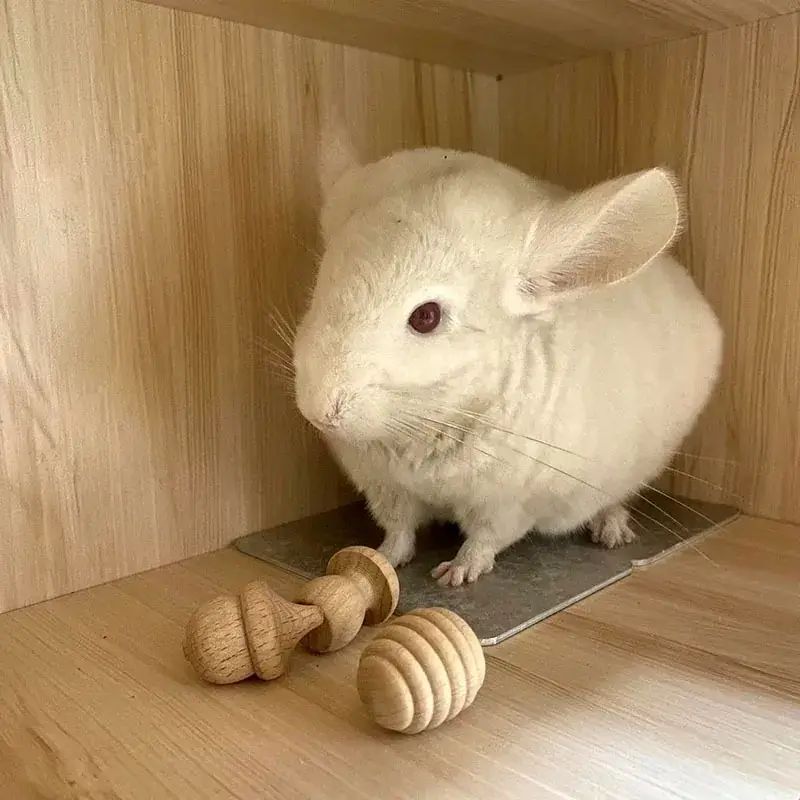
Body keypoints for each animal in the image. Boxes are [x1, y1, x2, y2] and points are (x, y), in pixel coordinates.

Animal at [292, 127, 723, 587]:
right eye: (319, 286)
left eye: (426, 317)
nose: (318, 410)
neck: (425, 426)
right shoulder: (384, 487)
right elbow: (399, 530)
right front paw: (381, 558)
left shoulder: (508, 502)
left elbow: (484, 540)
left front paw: (456, 574)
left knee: (612, 500)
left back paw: (612, 531)